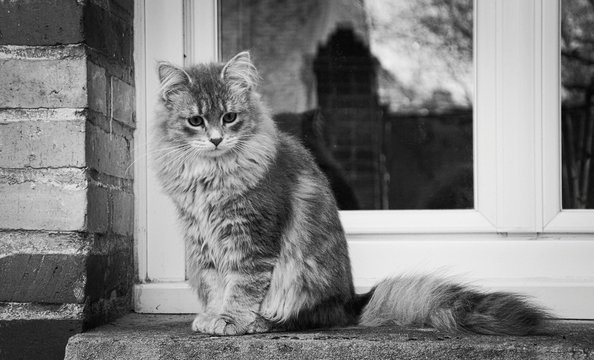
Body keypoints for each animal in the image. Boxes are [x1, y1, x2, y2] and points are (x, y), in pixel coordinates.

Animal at [153, 52, 544, 336]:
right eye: (195, 121)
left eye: (230, 117)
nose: (216, 139)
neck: (211, 177)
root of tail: (351, 304)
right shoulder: (202, 239)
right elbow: (216, 285)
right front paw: (212, 315)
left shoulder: (251, 238)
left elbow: (241, 287)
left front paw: (230, 320)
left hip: (298, 280)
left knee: (300, 317)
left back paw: (262, 323)